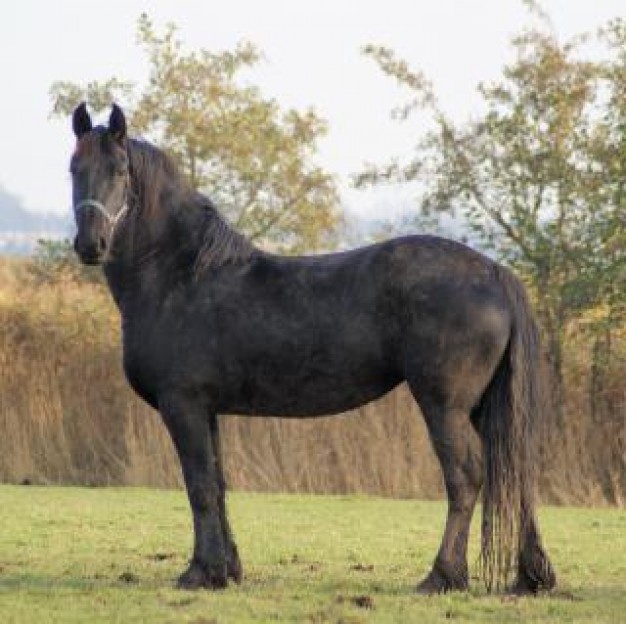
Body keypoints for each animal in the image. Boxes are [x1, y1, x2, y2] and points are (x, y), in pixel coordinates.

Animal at [69, 103, 556, 596]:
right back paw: (532, 577)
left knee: (466, 476)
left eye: (120, 170)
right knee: (514, 470)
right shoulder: (207, 409)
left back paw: (442, 575)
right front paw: (228, 569)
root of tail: (494, 272)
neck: (180, 274)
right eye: (74, 168)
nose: (91, 245)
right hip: (485, 406)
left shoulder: (182, 404)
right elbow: (219, 483)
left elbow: (200, 485)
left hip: (445, 404)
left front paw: (201, 572)